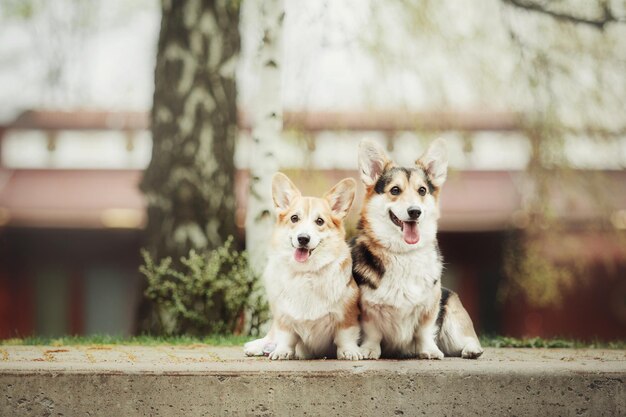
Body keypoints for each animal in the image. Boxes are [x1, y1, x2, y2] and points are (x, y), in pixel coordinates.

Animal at [244, 171, 360, 360]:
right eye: (294, 218)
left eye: (320, 221)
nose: (303, 238)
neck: (306, 272)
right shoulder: (284, 316)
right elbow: (286, 336)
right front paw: (282, 351)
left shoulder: (347, 314)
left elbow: (345, 336)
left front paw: (349, 351)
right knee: (272, 335)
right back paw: (256, 346)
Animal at [352, 139, 482, 358]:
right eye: (395, 190)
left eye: (422, 190)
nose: (415, 211)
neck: (403, 254)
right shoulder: (367, 309)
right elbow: (373, 333)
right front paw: (369, 349)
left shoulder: (430, 306)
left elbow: (424, 331)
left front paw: (429, 350)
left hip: (452, 317)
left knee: (467, 339)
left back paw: (472, 350)